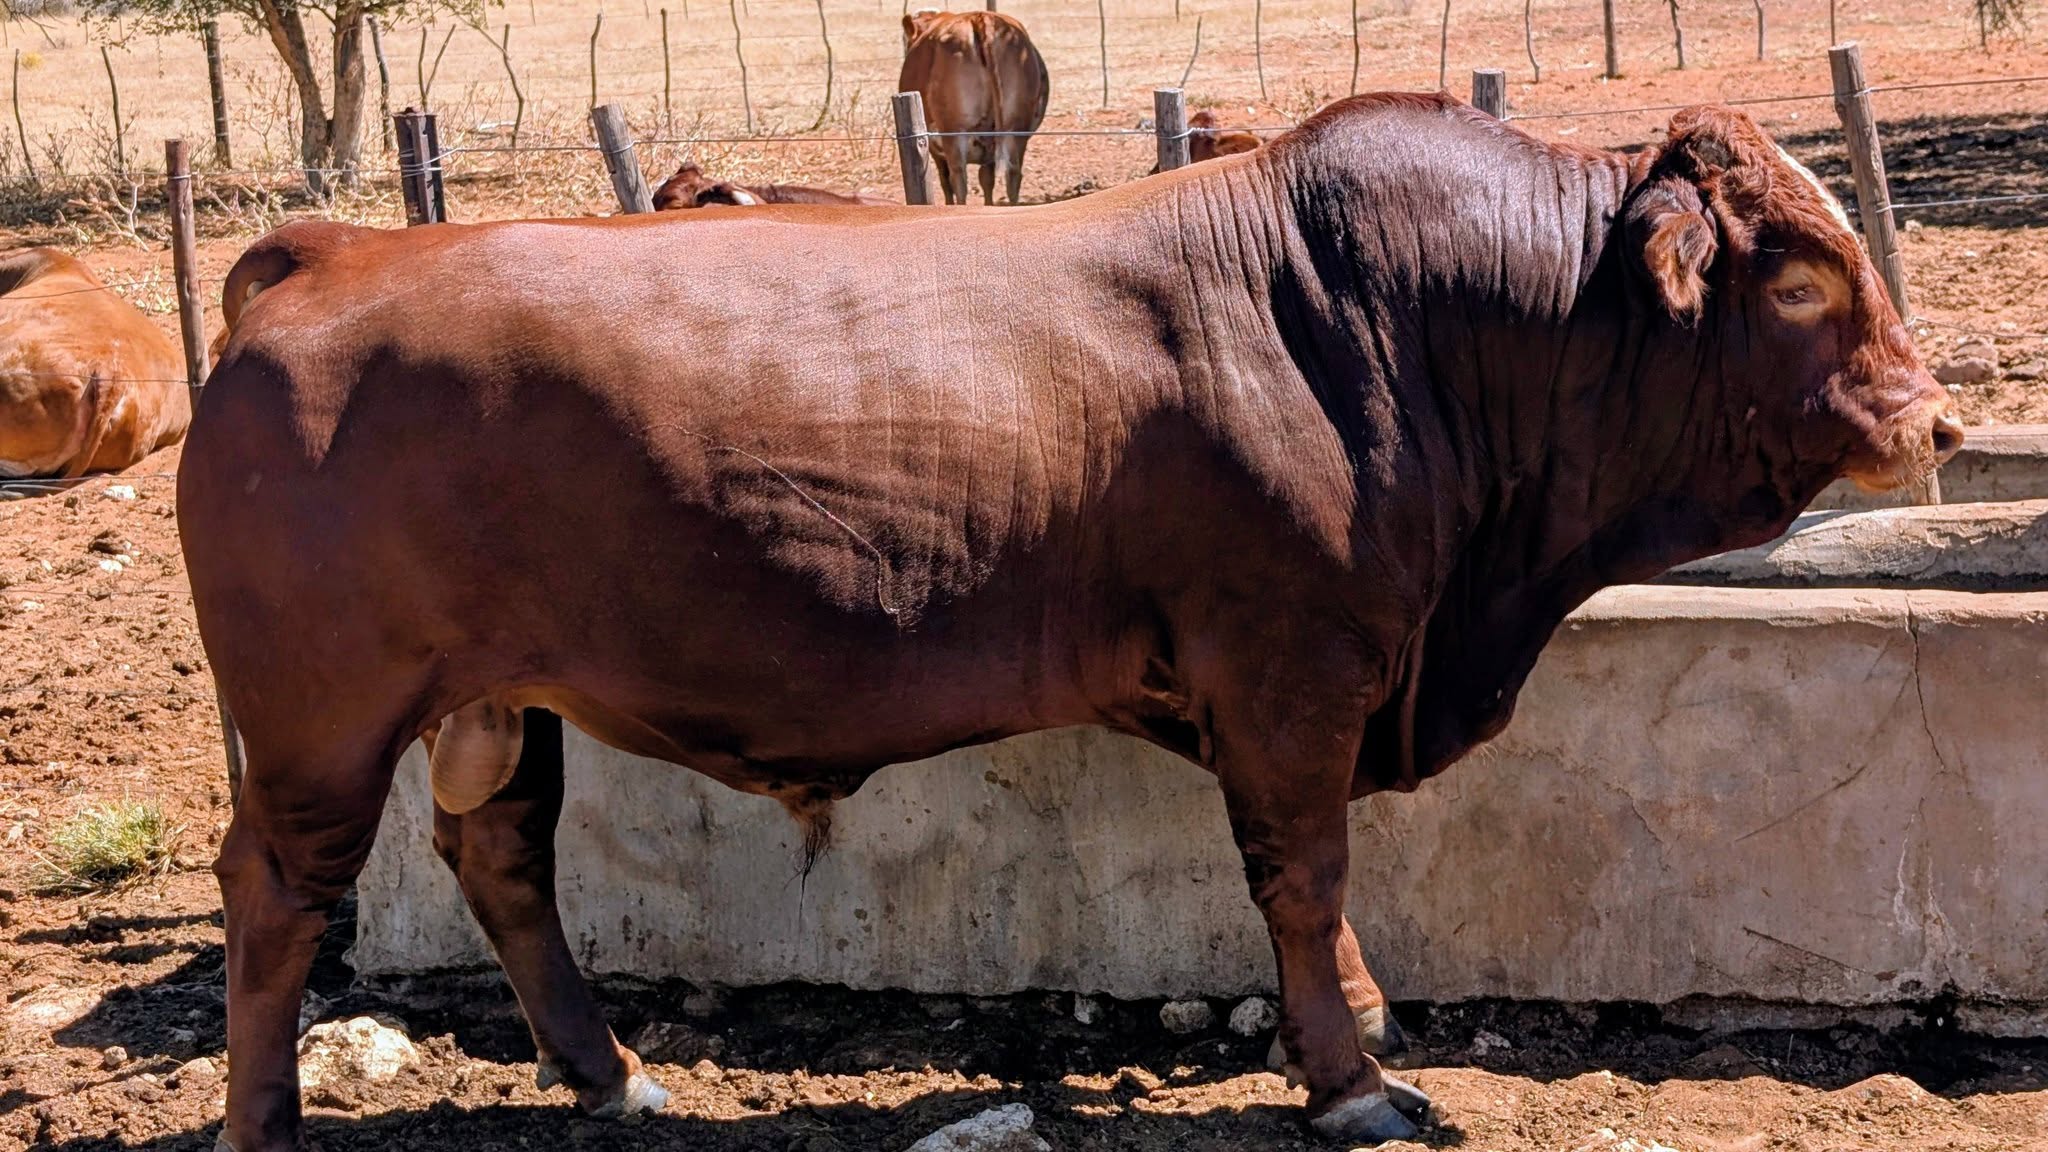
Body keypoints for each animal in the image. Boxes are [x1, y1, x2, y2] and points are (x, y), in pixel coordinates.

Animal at [183, 95, 1960, 1151]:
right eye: (1801, 279)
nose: (1935, 420)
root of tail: (329, 254)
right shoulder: (1290, 672)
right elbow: (1304, 878)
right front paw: (1353, 1079)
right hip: (322, 720)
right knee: (275, 899)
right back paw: (269, 1123)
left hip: (502, 701)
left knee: (503, 857)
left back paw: (613, 1073)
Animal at [898, 9, 1049, 205]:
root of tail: (980, 18)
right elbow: (987, 179)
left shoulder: (934, 148)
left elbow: (945, 181)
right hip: (1015, 130)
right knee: (1013, 175)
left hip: (954, 131)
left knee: (958, 179)